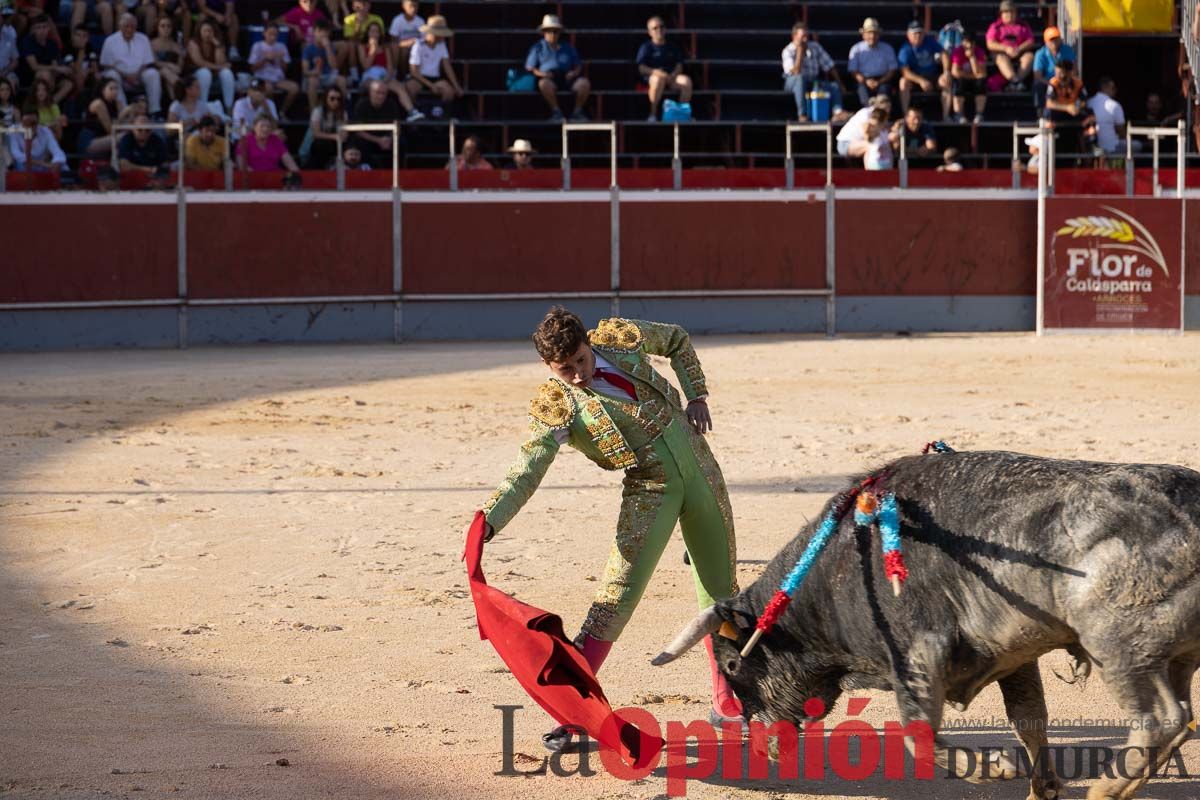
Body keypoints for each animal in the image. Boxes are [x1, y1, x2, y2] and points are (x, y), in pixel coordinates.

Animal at [657, 450, 1200, 800]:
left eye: (732, 664)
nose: (763, 745)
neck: (835, 570)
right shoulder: (1016, 658)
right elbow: (1029, 719)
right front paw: (1038, 787)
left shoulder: (918, 651)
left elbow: (917, 733)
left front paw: (994, 770)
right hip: (1171, 656)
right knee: (1181, 715)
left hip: (1120, 649)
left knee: (1162, 717)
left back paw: (1106, 788)